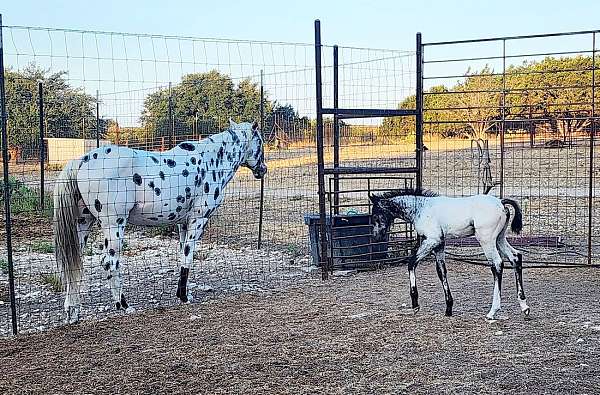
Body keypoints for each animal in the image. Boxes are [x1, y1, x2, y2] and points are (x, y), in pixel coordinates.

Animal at [53, 120, 264, 324]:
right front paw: (184, 297)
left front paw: (182, 294)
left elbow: (182, 255)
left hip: (83, 224)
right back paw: (124, 305)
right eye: (260, 142)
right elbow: (188, 256)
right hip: (113, 225)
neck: (211, 161)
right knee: (109, 262)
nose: (262, 170)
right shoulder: (198, 219)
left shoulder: (183, 223)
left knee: (73, 264)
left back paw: (73, 313)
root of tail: (81, 161)